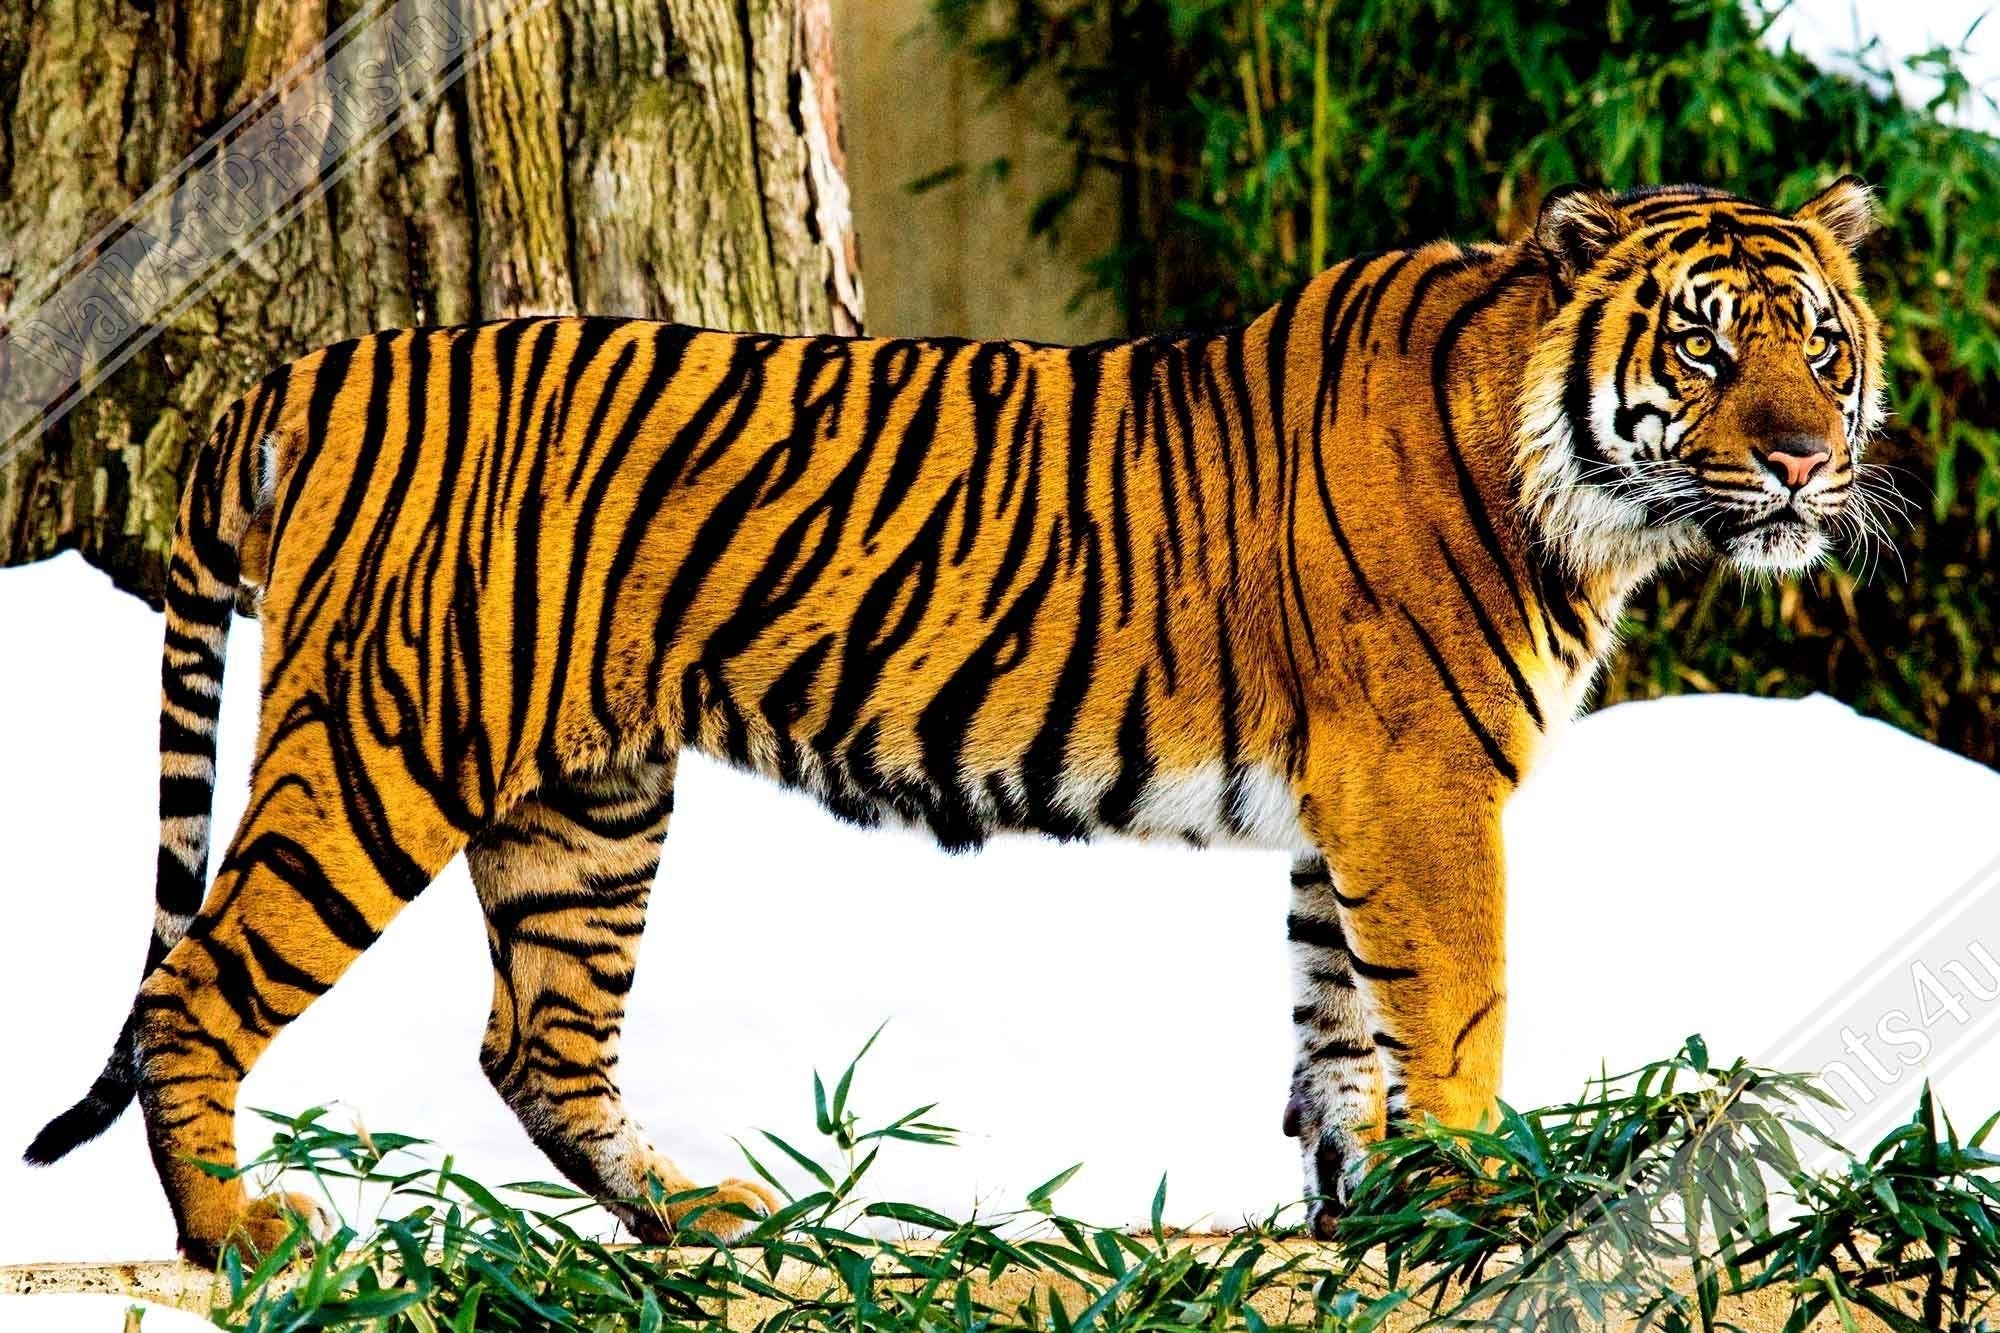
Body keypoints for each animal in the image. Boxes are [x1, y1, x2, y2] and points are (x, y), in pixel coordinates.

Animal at [24, 177, 1884, 1262]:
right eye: (1703, 349)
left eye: (1819, 345)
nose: (1805, 460)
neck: (1586, 491)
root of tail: (308, 365)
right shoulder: (1420, 787)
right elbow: (1459, 1011)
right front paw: (1495, 1202)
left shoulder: (1346, 806)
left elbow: (1341, 1023)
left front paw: (1367, 1212)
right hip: (384, 745)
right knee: (197, 986)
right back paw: (239, 1235)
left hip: (589, 798)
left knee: (537, 1039)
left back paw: (699, 1219)